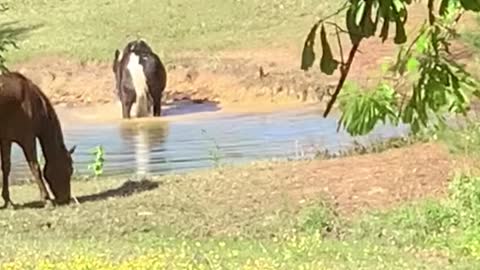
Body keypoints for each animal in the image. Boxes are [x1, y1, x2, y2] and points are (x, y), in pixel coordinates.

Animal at [0, 71, 75, 207]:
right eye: (69, 170)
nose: (66, 199)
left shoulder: (6, 140)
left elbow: (6, 167)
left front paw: (8, 201)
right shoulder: (28, 139)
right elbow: (35, 167)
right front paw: (46, 199)